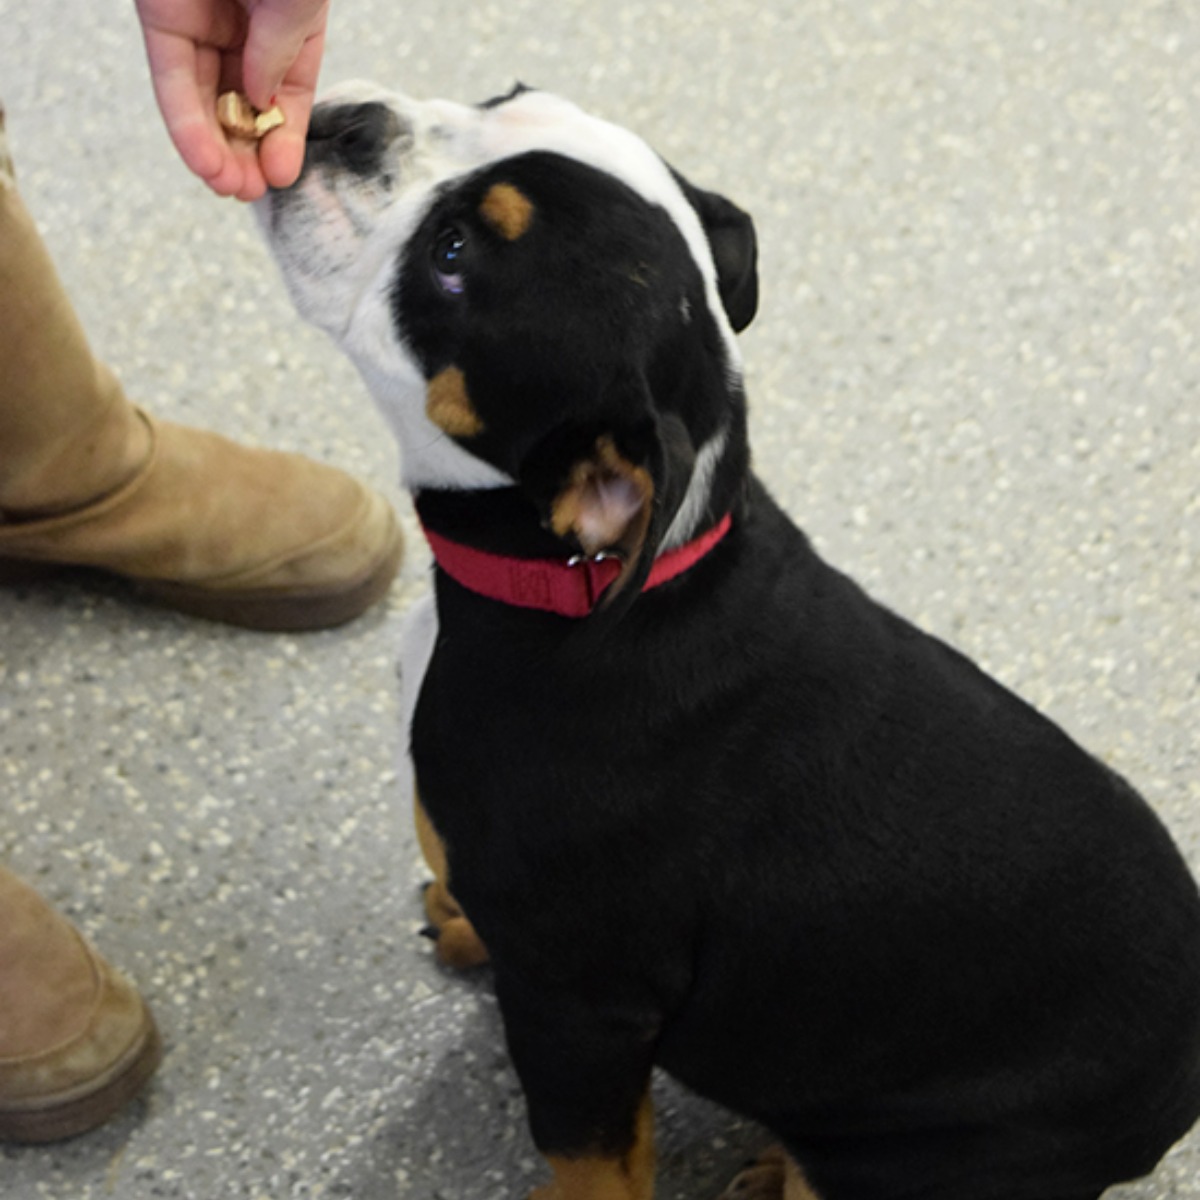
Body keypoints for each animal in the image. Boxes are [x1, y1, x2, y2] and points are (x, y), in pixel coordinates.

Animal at [258, 82, 1200, 1200]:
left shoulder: (583, 1012)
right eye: (501, 96)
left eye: (452, 256)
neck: (572, 580)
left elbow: (591, 1162)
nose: (346, 123)